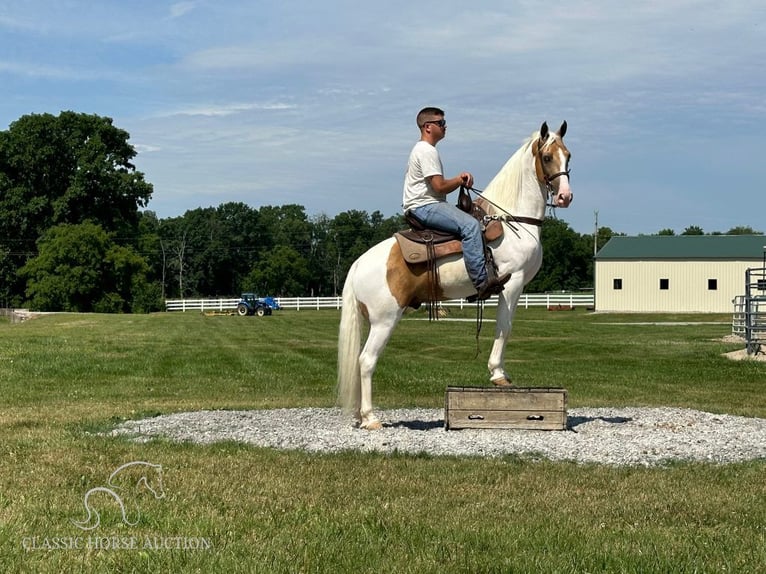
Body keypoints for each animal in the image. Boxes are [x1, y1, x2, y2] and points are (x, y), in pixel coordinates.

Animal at [340, 121, 572, 430]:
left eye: (567, 156)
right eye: (547, 157)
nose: (565, 196)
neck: (514, 223)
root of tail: (357, 264)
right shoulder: (512, 284)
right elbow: (504, 328)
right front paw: (499, 375)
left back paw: (359, 414)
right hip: (384, 319)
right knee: (366, 360)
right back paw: (371, 417)